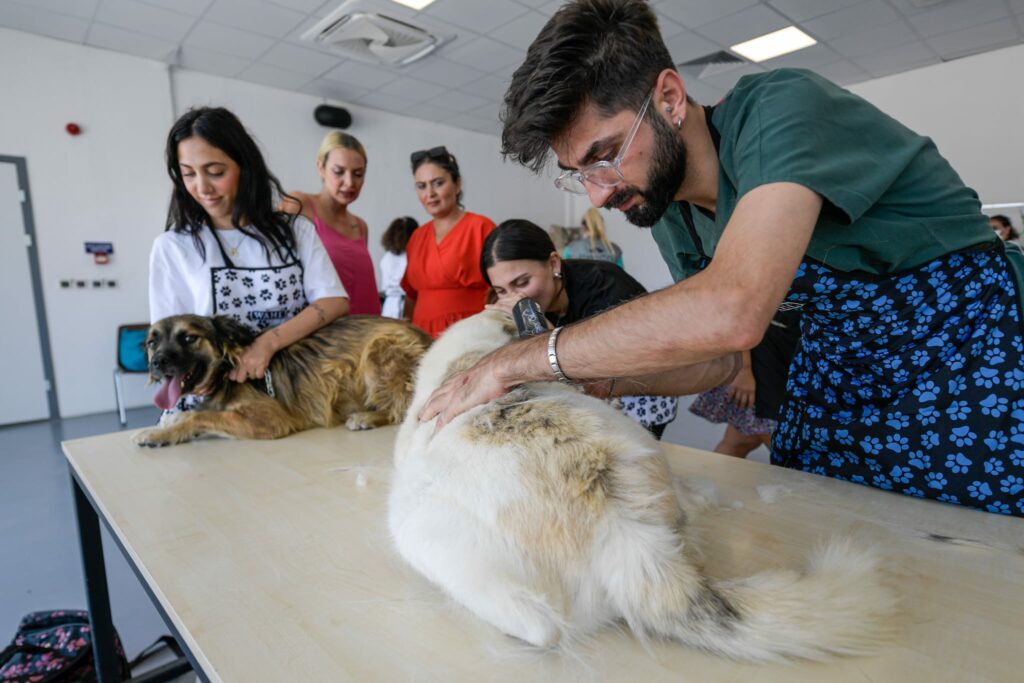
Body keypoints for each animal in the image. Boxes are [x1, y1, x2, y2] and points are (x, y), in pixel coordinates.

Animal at [131, 315, 428, 448]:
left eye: (188, 338)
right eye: (153, 343)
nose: (157, 363)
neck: (226, 368)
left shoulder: (269, 418)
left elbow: (197, 416)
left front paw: (155, 434)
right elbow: (195, 414)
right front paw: (168, 424)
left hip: (381, 350)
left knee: (403, 409)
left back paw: (365, 417)